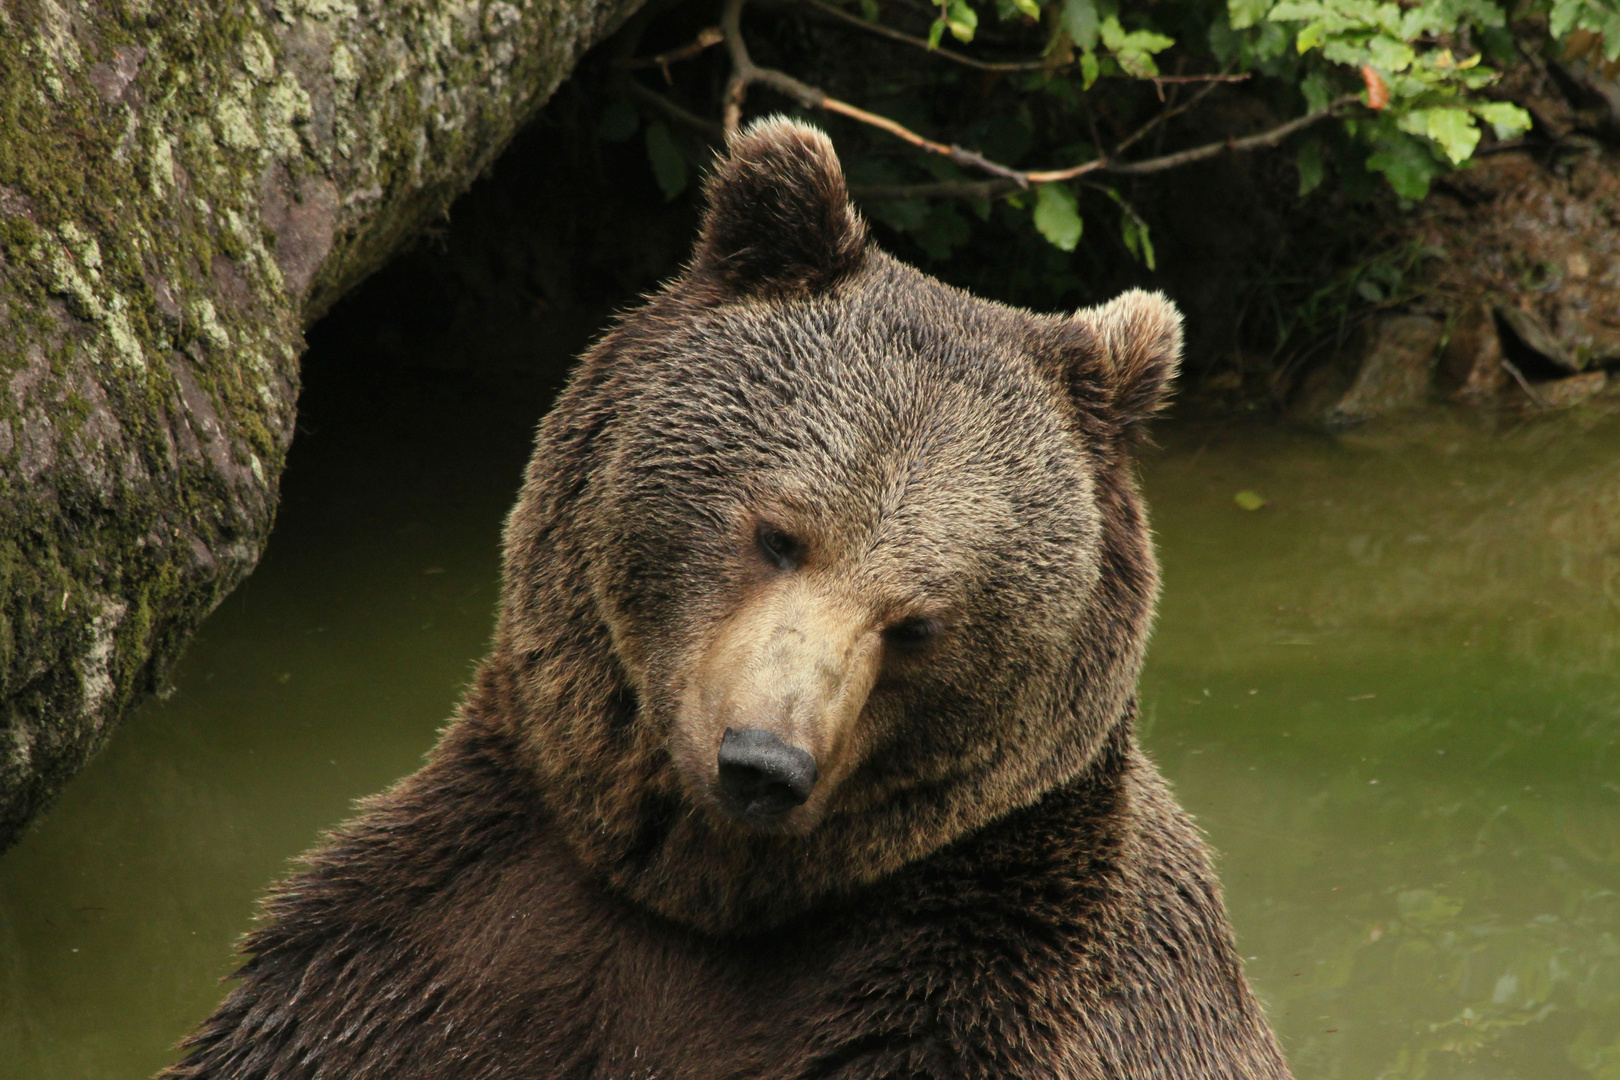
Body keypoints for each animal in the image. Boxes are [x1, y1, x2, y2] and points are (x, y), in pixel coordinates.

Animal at [167, 118, 1289, 1080]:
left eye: (919, 623)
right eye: (778, 534)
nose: (763, 761)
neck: (685, 898)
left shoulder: (987, 1002)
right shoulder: (435, 945)